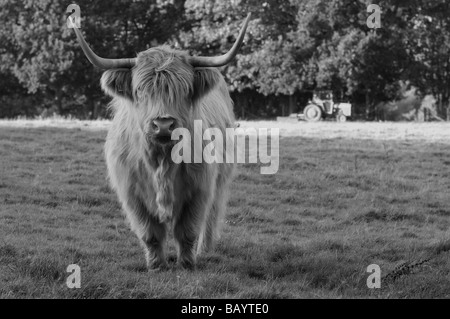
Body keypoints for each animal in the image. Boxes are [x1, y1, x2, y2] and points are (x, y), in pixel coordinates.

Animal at [72, 14, 251, 270]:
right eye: (139, 90)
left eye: (184, 88)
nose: (163, 125)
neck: (162, 161)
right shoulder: (131, 193)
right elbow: (150, 233)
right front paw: (156, 265)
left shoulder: (200, 188)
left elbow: (188, 230)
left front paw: (186, 264)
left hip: (220, 181)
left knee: (212, 215)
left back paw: (205, 249)